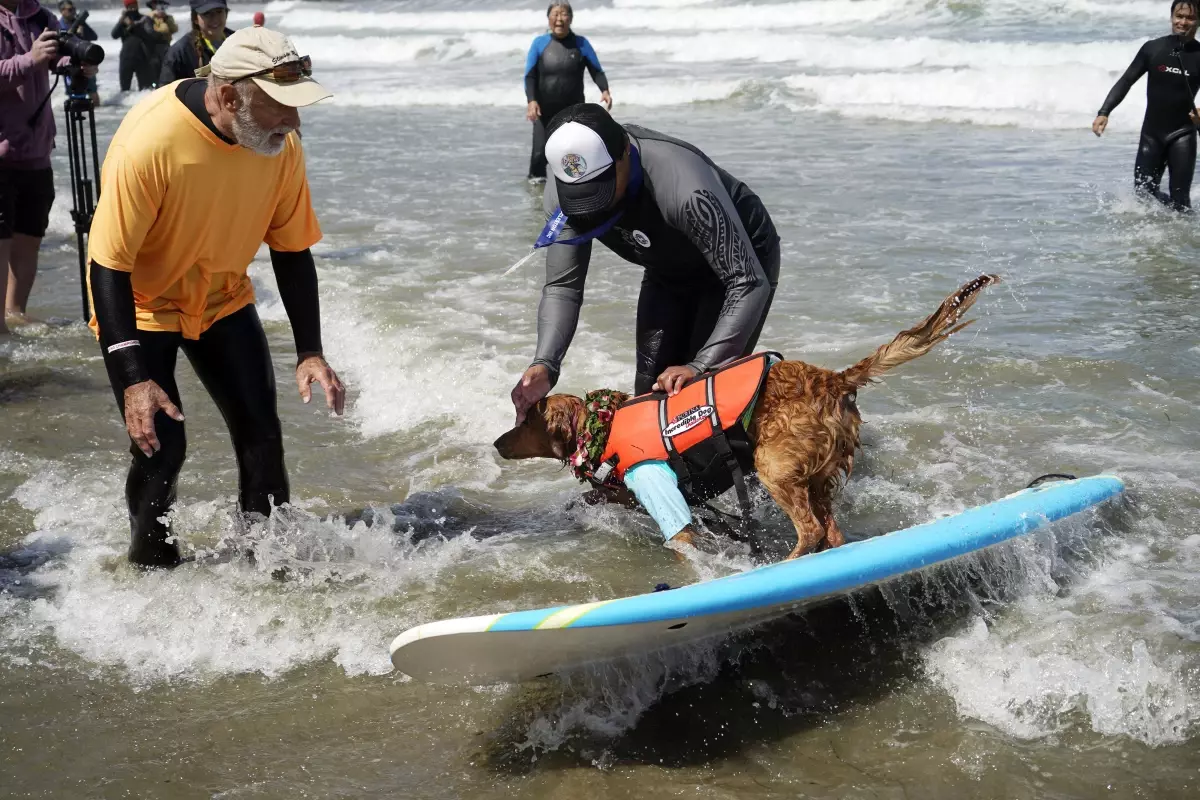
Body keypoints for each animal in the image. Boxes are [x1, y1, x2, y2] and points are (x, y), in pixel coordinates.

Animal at [492, 278, 998, 561]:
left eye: (525, 420)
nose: (496, 443)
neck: (604, 425)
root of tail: (833, 380)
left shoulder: (658, 485)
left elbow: (681, 535)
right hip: (815, 476)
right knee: (832, 532)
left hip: (774, 466)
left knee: (812, 530)